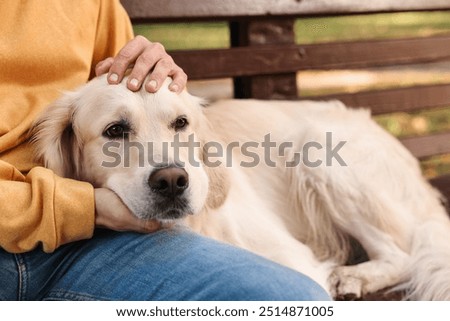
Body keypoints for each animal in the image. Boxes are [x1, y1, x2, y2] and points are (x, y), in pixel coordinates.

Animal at [33, 74, 450, 298]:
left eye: (181, 123)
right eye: (115, 130)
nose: (173, 182)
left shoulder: (295, 262)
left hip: (317, 148)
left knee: (402, 254)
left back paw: (354, 275)